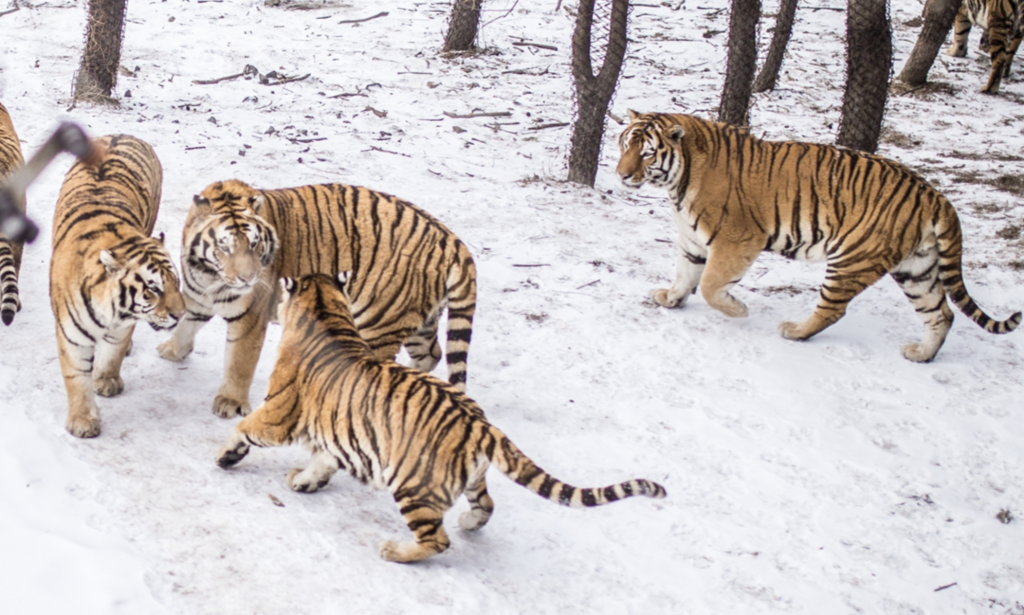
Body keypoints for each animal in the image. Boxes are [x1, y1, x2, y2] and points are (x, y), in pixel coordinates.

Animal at [50, 137, 186, 437]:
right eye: (154, 289)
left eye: (177, 282)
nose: (180, 314)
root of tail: (124, 135)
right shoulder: (73, 337)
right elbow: (77, 377)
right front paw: (82, 421)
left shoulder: (123, 326)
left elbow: (113, 353)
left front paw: (107, 381)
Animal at [157, 177, 477, 417]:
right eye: (224, 246)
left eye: (255, 244)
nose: (248, 278)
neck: (209, 274)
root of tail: (452, 241)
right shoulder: (197, 298)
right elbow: (185, 326)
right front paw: (173, 351)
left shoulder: (250, 317)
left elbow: (239, 361)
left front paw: (231, 403)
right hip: (417, 322)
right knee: (432, 354)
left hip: (378, 322)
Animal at [215, 272, 663, 560]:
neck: (326, 310)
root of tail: (482, 425)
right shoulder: (334, 430)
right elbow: (323, 459)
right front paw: (305, 481)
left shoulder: (278, 413)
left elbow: (244, 427)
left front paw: (225, 456)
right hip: (471, 478)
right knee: (486, 506)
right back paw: (470, 521)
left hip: (414, 485)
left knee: (437, 541)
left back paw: (395, 550)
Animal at [610, 111, 1019, 360]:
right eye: (625, 145)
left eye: (647, 154)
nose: (622, 174)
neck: (679, 181)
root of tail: (936, 195)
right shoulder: (692, 239)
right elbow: (685, 274)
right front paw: (671, 299)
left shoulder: (738, 239)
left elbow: (711, 284)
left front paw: (738, 310)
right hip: (916, 269)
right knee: (941, 314)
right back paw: (921, 355)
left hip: (852, 259)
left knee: (833, 308)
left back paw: (794, 332)